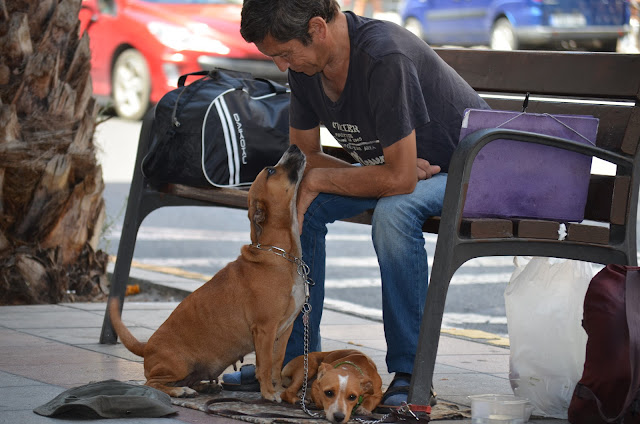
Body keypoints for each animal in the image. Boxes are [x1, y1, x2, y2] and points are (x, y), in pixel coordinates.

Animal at [108, 145, 308, 400]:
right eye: (271, 170)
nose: (294, 146)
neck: (280, 253)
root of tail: (147, 346)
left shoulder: (284, 330)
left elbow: (276, 363)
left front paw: (280, 389)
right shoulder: (265, 329)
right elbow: (264, 366)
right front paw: (268, 393)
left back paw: (204, 386)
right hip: (178, 364)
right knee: (152, 383)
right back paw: (179, 390)